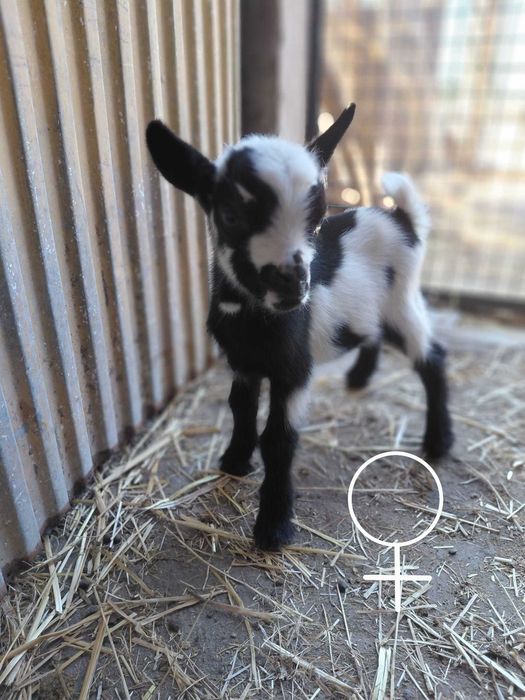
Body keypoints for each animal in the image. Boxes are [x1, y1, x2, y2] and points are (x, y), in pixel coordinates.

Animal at [146, 104, 454, 551]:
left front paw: (273, 528)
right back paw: (359, 378)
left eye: (319, 216)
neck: (252, 319)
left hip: (402, 302)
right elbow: (240, 409)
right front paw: (234, 462)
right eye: (231, 215)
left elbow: (278, 439)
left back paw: (438, 442)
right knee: (373, 334)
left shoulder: (292, 370)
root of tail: (401, 218)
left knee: (432, 359)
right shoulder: (243, 362)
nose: (292, 284)